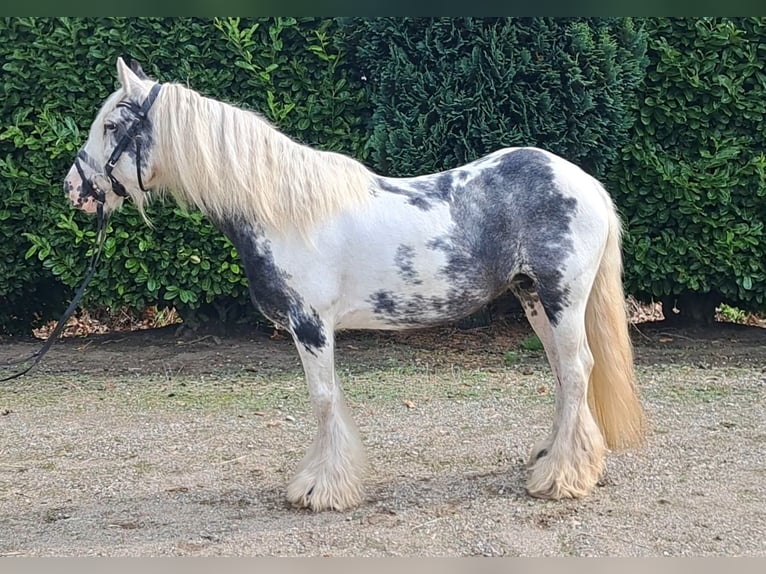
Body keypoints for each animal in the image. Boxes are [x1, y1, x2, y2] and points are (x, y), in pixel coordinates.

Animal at [64, 58, 648, 512]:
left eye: (112, 125)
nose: (75, 188)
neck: (283, 211)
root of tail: (584, 181)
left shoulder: (310, 326)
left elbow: (323, 400)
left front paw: (321, 490)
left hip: (561, 298)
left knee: (577, 370)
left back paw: (561, 478)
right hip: (533, 299)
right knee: (564, 375)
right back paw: (556, 460)